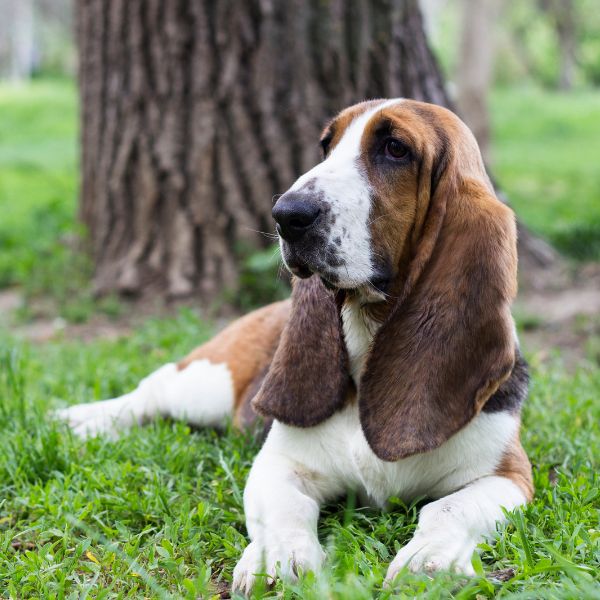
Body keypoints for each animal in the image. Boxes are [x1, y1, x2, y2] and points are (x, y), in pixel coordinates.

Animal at [57, 98, 536, 596]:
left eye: (395, 149)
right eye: (326, 145)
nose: (286, 214)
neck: (367, 334)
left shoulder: (508, 477)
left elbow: (447, 508)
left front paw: (429, 562)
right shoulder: (279, 464)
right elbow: (287, 508)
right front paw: (279, 556)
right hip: (206, 384)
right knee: (152, 390)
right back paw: (83, 420)